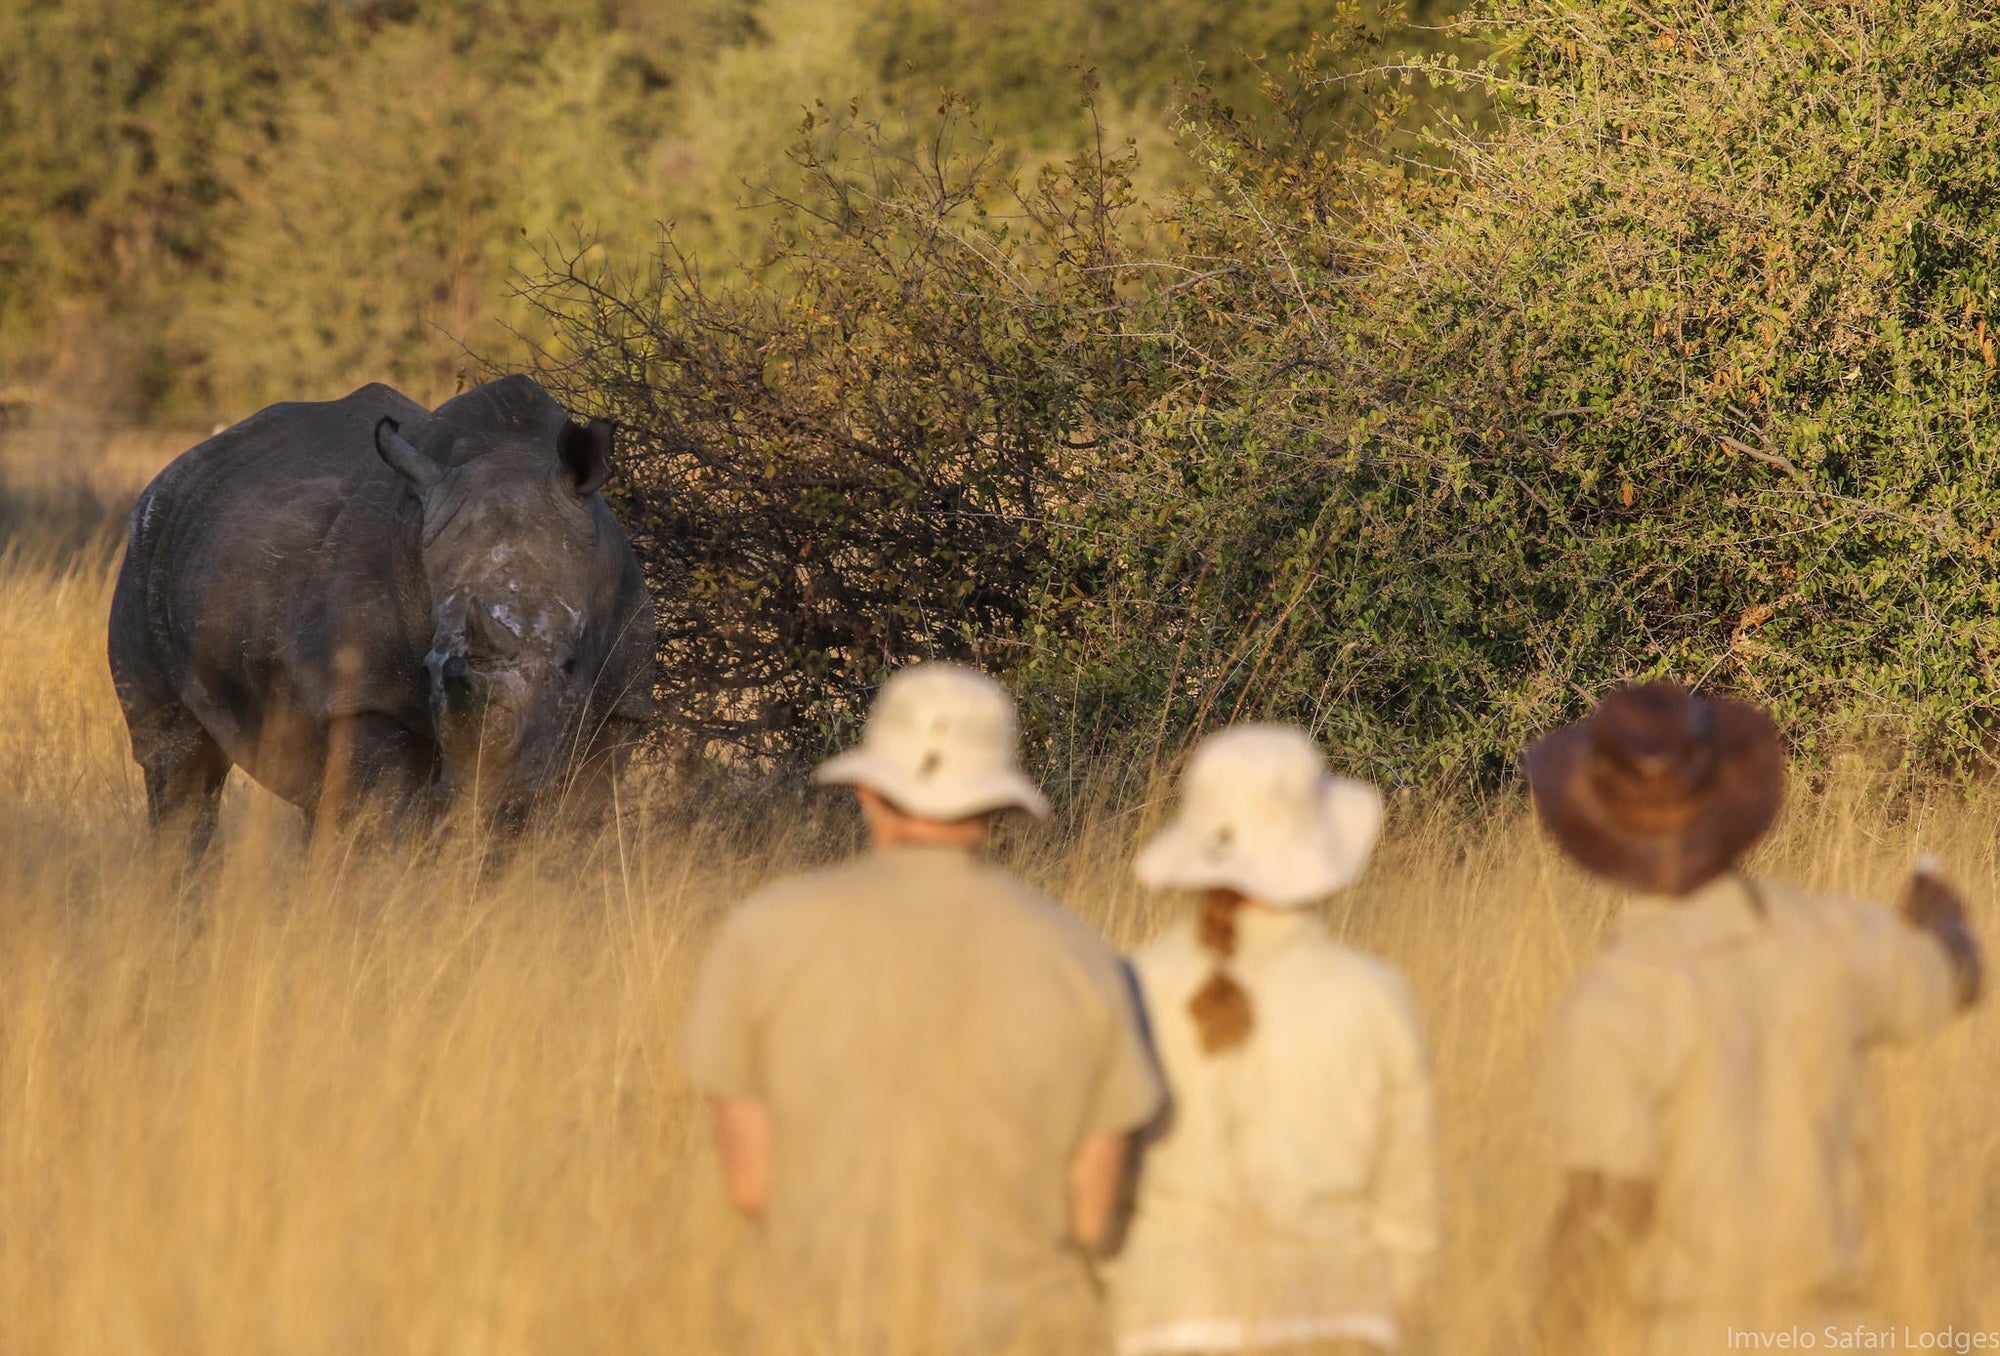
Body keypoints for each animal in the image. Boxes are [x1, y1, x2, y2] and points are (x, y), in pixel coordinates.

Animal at [108, 375, 655, 853]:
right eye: (429, 668)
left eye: (571, 664)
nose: (496, 800)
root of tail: (174, 470)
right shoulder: (368, 693)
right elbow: (380, 821)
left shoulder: (622, 701)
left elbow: (581, 820)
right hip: (144, 553)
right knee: (177, 762)